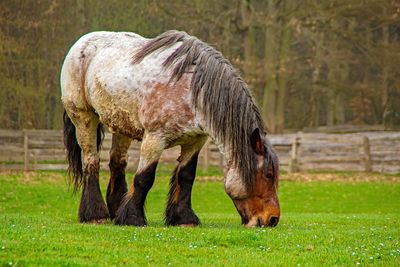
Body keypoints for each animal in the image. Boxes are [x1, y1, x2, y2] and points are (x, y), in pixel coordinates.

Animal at [61, 30, 282, 228]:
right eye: (268, 174)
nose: (272, 219)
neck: (191, 91)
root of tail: (81, 43)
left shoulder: (195, 141)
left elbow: (186, 177)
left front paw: (184, 219)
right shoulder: (154, 139)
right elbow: (144, 178)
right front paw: (133, 218)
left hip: (121, 125)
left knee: (117, 163)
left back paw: (116, 210)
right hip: (84, 118)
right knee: (91, 161)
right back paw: (95, 215)